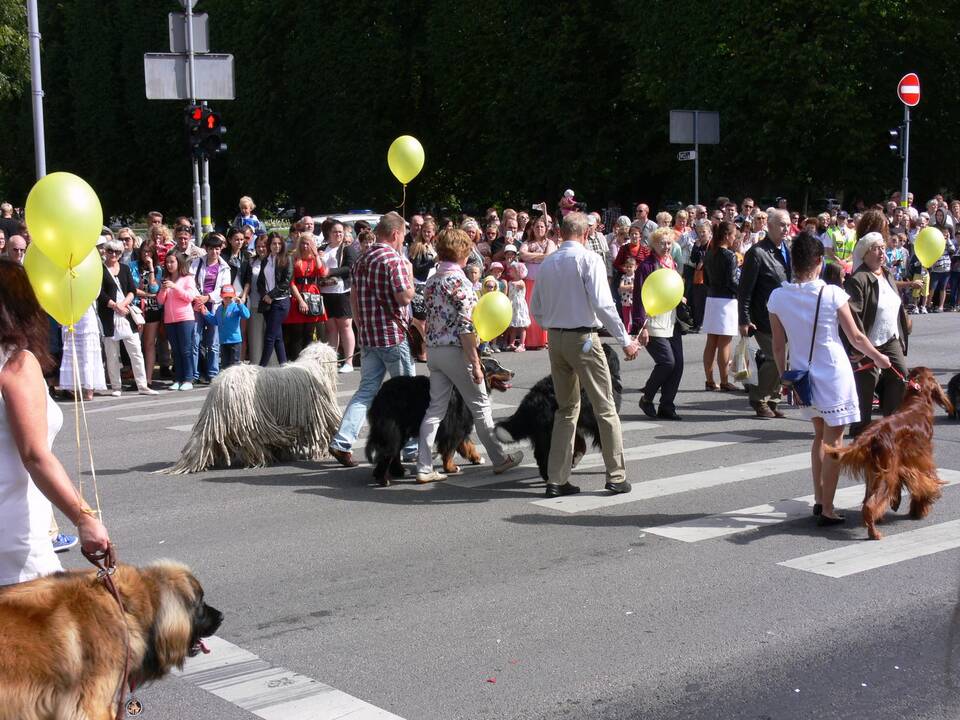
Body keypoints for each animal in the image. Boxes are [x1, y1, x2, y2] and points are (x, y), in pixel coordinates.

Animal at [364, 354, 512, 484]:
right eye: (496, 368)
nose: (512, 373)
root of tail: (381, 393)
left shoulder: (460, 426)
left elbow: (468, 445)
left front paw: (477, 458)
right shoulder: (455, 428)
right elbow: (450, 450)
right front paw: (451, 468)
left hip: (400, 432)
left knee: (394, 453)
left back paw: (398, 471)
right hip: (393, 430)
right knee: (387, 453)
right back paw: (383, 479)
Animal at [824, 368, 952, 536]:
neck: (917, 401)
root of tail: (872, 434)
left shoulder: (902, 464)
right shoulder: (921, 459)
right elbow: (923, 481)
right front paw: (921, 506)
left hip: (874, 473)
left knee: (867, 501)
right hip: (885, 474)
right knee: (870, 505)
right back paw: (874, 533)